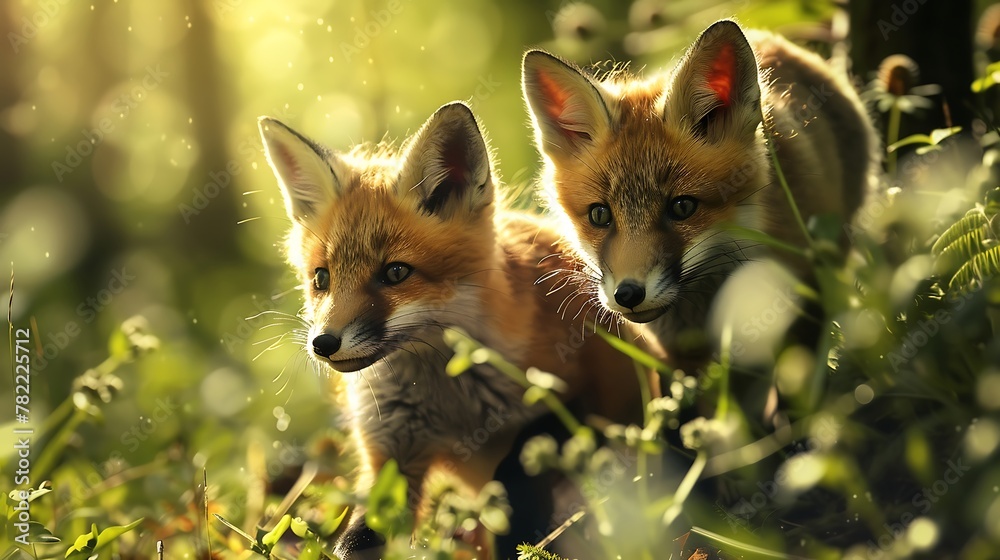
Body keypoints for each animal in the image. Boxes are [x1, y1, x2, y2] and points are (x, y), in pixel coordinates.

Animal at [258, 102, 641, 558]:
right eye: (321, 278)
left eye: (396, 273)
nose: (323, 343)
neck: (448, 400)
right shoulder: (392, 453)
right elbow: (359, 540)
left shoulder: (571, 398)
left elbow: (517, 474)